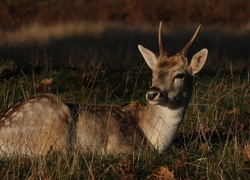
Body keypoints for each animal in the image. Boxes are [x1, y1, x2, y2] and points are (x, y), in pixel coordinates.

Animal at [0, 21, 207, 155]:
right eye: (153, 73)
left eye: (179, 75)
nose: (153, 93)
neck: (151, 136)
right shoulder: (121, 144)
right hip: (55, 135)